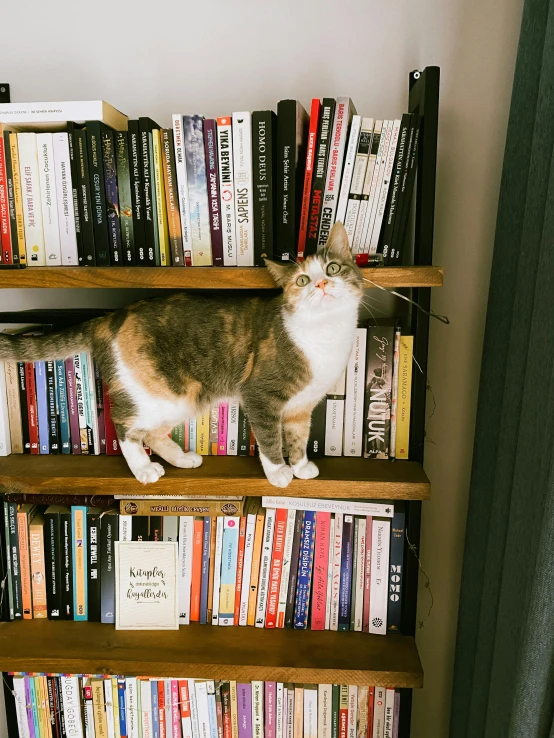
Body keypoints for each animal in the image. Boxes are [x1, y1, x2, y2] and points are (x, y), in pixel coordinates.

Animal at [0, 221, 362, 486]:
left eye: (332, 268)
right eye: (302, 280)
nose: (320, 285)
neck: (325, 334)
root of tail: (110, 317)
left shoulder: (301, 407)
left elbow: (298, 436)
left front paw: (300, 465)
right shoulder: (259, 396)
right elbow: (271, 438)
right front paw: (278, 472)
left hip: (184, 398)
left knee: (154, 432)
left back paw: (182, 458)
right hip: (161, 392)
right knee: (125, 425)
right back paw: (144, 469)